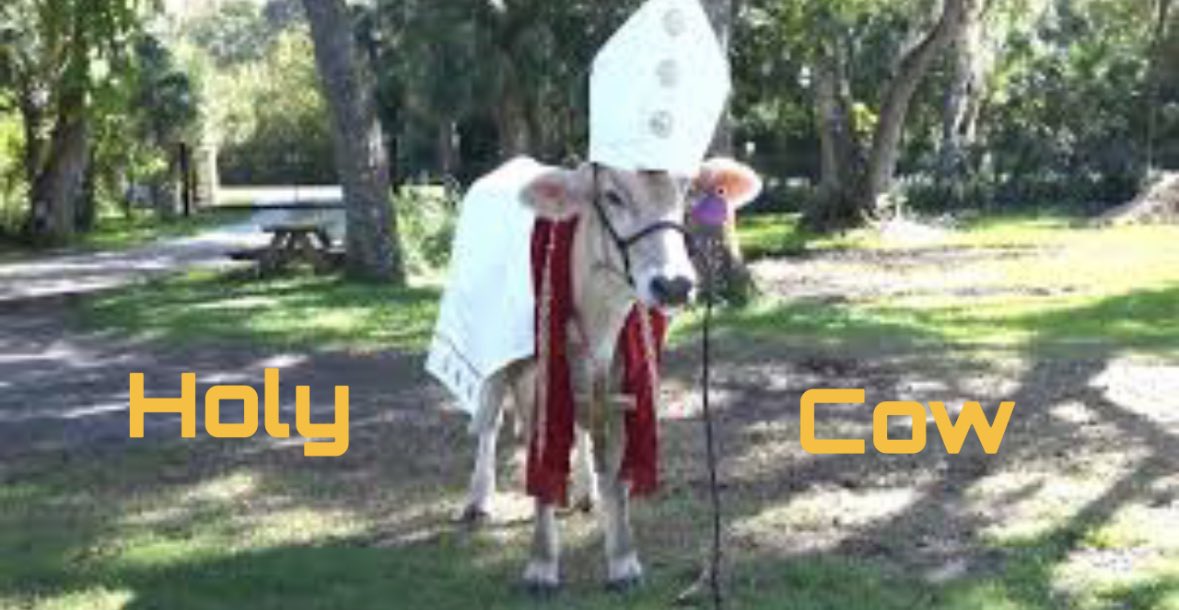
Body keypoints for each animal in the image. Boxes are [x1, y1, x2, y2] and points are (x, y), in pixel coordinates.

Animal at [455, 157, 761, 591]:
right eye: (612, 195)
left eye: (687, 192)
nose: (673, 285)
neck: (599, 318)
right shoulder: (537, 385)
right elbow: (540, 467)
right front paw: (541, 565)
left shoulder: (621, 386)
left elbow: (616, 473)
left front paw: (623, 561)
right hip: (492, 355)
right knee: (488, 422)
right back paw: (478, 499)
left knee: (580, 427)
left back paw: (586, 492)